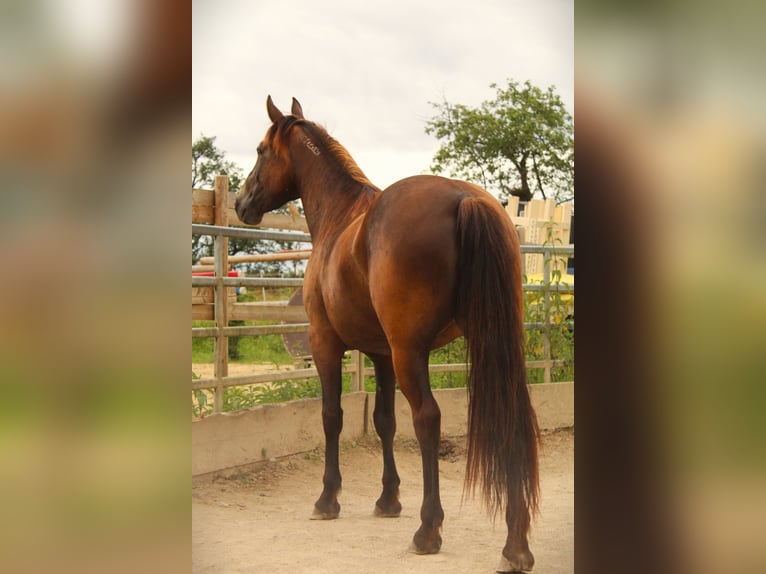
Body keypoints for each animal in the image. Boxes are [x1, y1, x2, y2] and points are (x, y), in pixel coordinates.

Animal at [237, 97, 544, 572]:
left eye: (260, 151)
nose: (240, 203)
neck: (340, 217)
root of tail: (465, 199)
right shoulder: (381, 354)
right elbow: (383, 420)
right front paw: (387, 499)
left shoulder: (327, 345)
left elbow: (332, 416)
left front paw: (328, 499)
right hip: (490, 344)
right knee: (511, 419)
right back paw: (515, 546)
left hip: (409, 353)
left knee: (427, 418)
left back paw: (428, 530)